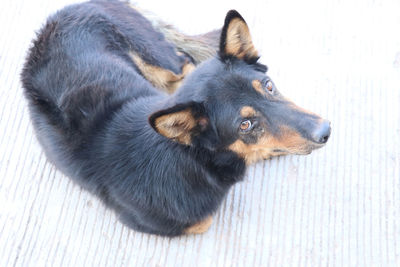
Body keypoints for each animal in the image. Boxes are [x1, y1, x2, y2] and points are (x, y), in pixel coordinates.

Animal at [20, 0, 330, 239]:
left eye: (268, 86)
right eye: (245, 125)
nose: (325, 131)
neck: (193, 159)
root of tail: (72, 6)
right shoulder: (173, 222)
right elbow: (205, 218)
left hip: (159, 59)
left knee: (185, 64)